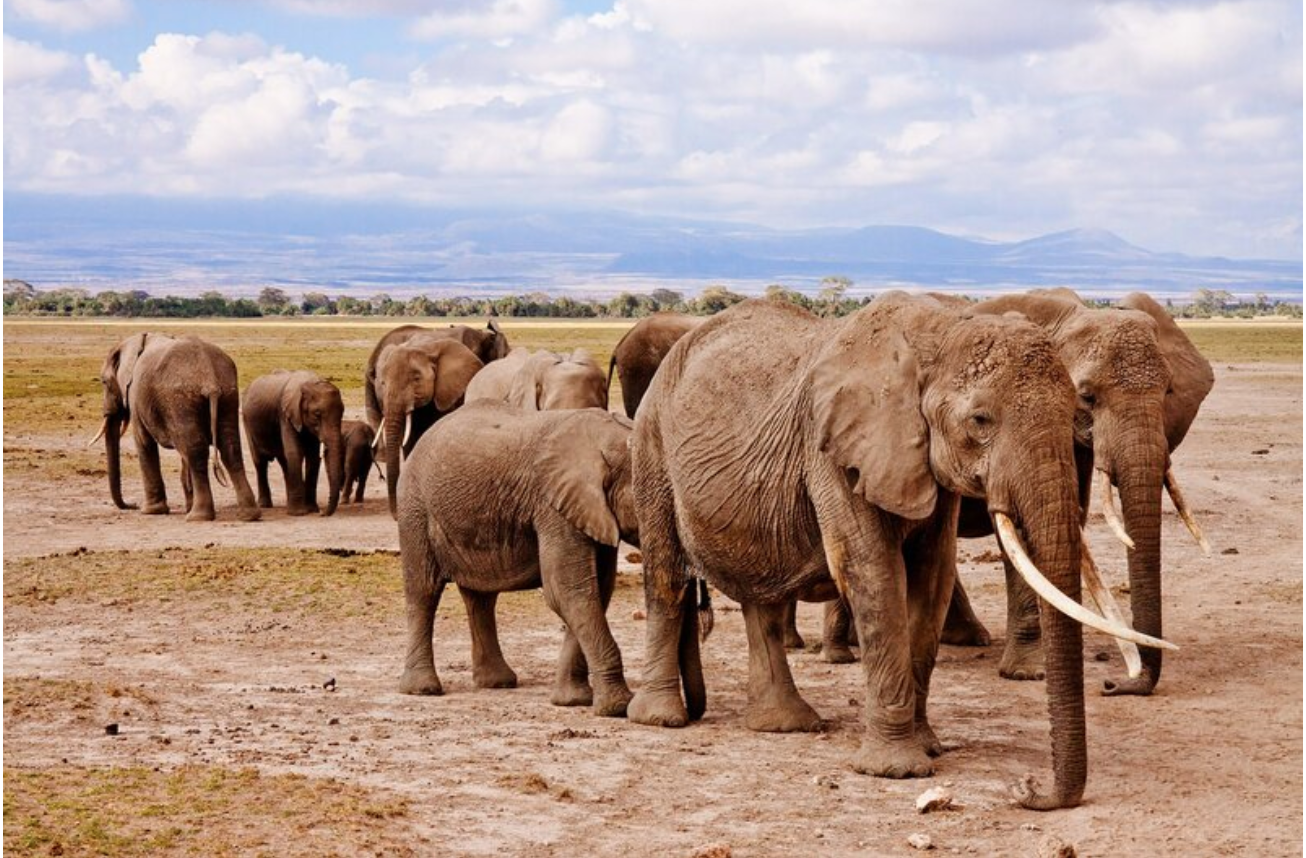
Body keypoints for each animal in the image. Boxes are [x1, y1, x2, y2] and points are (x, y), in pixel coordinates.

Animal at [92, 332, 260, 522]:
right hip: (228, 394)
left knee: (196, 451)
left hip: (181, 398)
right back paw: (249, 515)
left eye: (104, 382)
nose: (132, 505)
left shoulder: (136, 397)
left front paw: (151, 511)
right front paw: (185, 506)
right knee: (230, 448)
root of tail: (209, 376)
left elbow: (144, 442)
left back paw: (198, 516)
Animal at [242, 370, 346, 517]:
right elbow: (295, 453)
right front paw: (298, 513)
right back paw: (265, 505)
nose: (322, 513)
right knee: (260, 462)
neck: (309, 383)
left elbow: (312, 457)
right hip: (247, 422)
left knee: (284, 461)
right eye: (317, 414)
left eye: (342, 413)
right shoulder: (286, 415)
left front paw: (311, 509)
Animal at [373, 334, 485, 517]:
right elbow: (410, 442)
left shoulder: (449, 393)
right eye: (382, 383)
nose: (395, 515)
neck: (424, 348)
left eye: (416, 379)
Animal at [396, 401, 639, 717]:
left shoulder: (591, 511)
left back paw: (497, 683)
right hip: (414, 507)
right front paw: (618, 707)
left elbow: (595, 591)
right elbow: (568, 591)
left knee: (481, 598)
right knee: (423, 590)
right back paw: (422, 689)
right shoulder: (554, 507)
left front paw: (573, 701)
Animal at [626, 293, 1172, 811]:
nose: (1028, 789)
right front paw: (897, 769)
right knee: (666, 576)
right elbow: (874, 574)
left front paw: (928, 745)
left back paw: (783, 724)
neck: (937, 334)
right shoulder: (834, 452)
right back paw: (661, 718)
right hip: (651, 447)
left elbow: (931, 579)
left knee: (761, 596)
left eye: (1075, 410)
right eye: (980, 420)